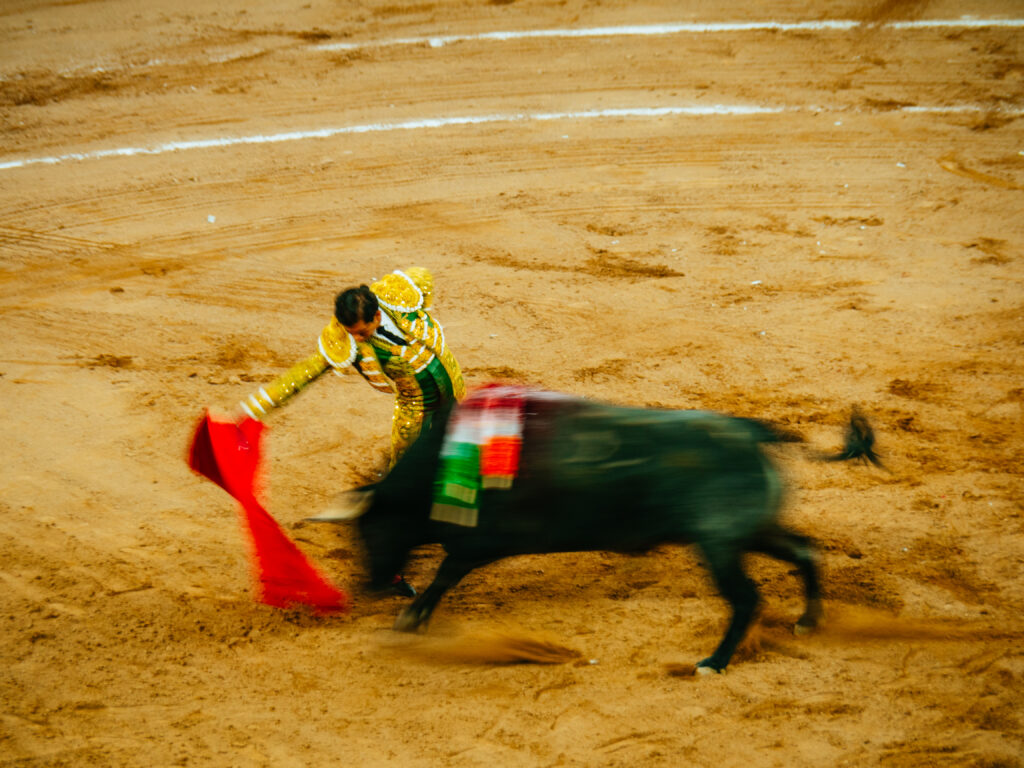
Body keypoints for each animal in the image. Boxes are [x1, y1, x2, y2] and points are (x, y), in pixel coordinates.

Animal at [329, 397, 880, 671]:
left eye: (369, 531)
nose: (368, 586)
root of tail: (751, 432)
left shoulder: (479, 543)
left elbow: (446, 573)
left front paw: (411, 618)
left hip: (720, 543)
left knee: (747, 598)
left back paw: (713, 662)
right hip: (751, 531)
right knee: (805, 552)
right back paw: (807, 622)